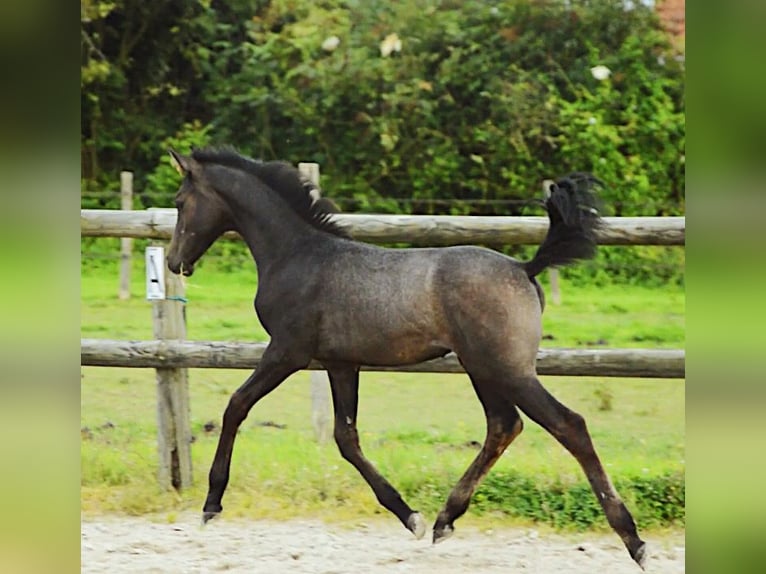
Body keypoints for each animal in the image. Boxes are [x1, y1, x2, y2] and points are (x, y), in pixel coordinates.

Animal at [166, 146, 648, 568]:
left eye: (179, 202)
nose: (173, 262)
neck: (298, 254)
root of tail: (523, 268)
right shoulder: (340, 362)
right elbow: (346, 438)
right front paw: (409, 515)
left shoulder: (288, 350)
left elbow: (236, 405)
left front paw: (211, 503)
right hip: (482, 368)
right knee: (503, 426)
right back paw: (443, 520)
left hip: (507, 369)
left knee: (569, 425)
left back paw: (634, 541)